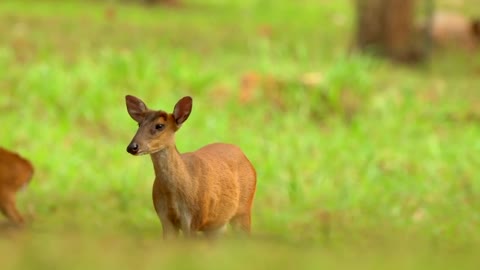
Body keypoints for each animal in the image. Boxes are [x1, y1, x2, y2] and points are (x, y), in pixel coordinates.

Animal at [125, 95, 256, 238]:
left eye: (159, 125)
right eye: (139, 124)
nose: (132, 147)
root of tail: (244, 156)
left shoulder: (193, 219)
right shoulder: (164, 218)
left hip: (243, 209)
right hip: (217, 224)